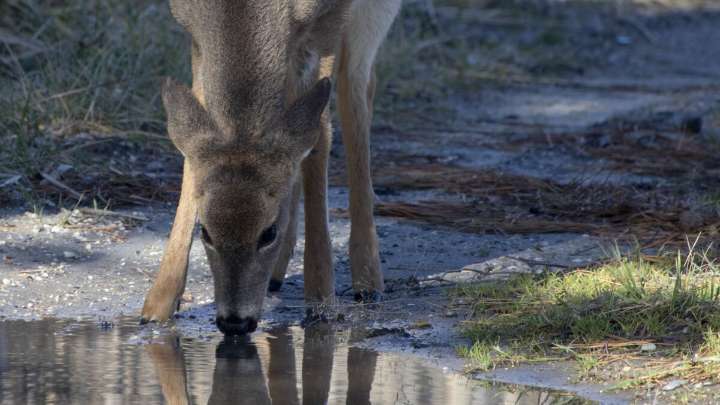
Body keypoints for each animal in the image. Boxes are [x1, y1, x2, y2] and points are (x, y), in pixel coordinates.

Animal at [140, 0, 402, 335]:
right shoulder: (191, 27)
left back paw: (367, 280)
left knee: (358, 84)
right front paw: (159, 302)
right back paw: (278, 275)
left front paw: (321, 300)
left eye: (267, 233)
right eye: (206, 232)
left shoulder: (327, 23)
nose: (234, 322)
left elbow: (319, 136)